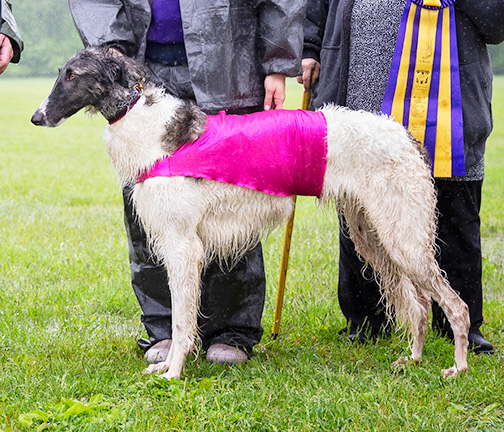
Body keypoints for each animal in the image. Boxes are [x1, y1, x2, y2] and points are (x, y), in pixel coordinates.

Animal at [31, 46, 468, 378]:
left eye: (72, 75)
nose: (36, 117)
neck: (151, 128)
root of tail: (406, 136)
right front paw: (167, 366)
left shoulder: (183, 246)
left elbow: (182, 321)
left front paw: (174, 373)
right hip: (375, 236)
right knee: (420, 306)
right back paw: (411, 360)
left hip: (404, 238)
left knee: (455, 306)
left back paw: (458, 368)